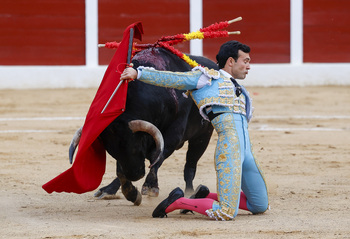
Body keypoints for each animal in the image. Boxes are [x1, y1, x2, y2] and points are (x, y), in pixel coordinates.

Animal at [69, 47, 216, 205]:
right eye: (111, 152)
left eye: (135, 146)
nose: (135, 175)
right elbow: (120, 169)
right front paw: (129, 192)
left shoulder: (173, 134)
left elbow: (157, 156)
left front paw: (150, 186)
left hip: (203, 136)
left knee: (190, 165)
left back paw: (190, 192)